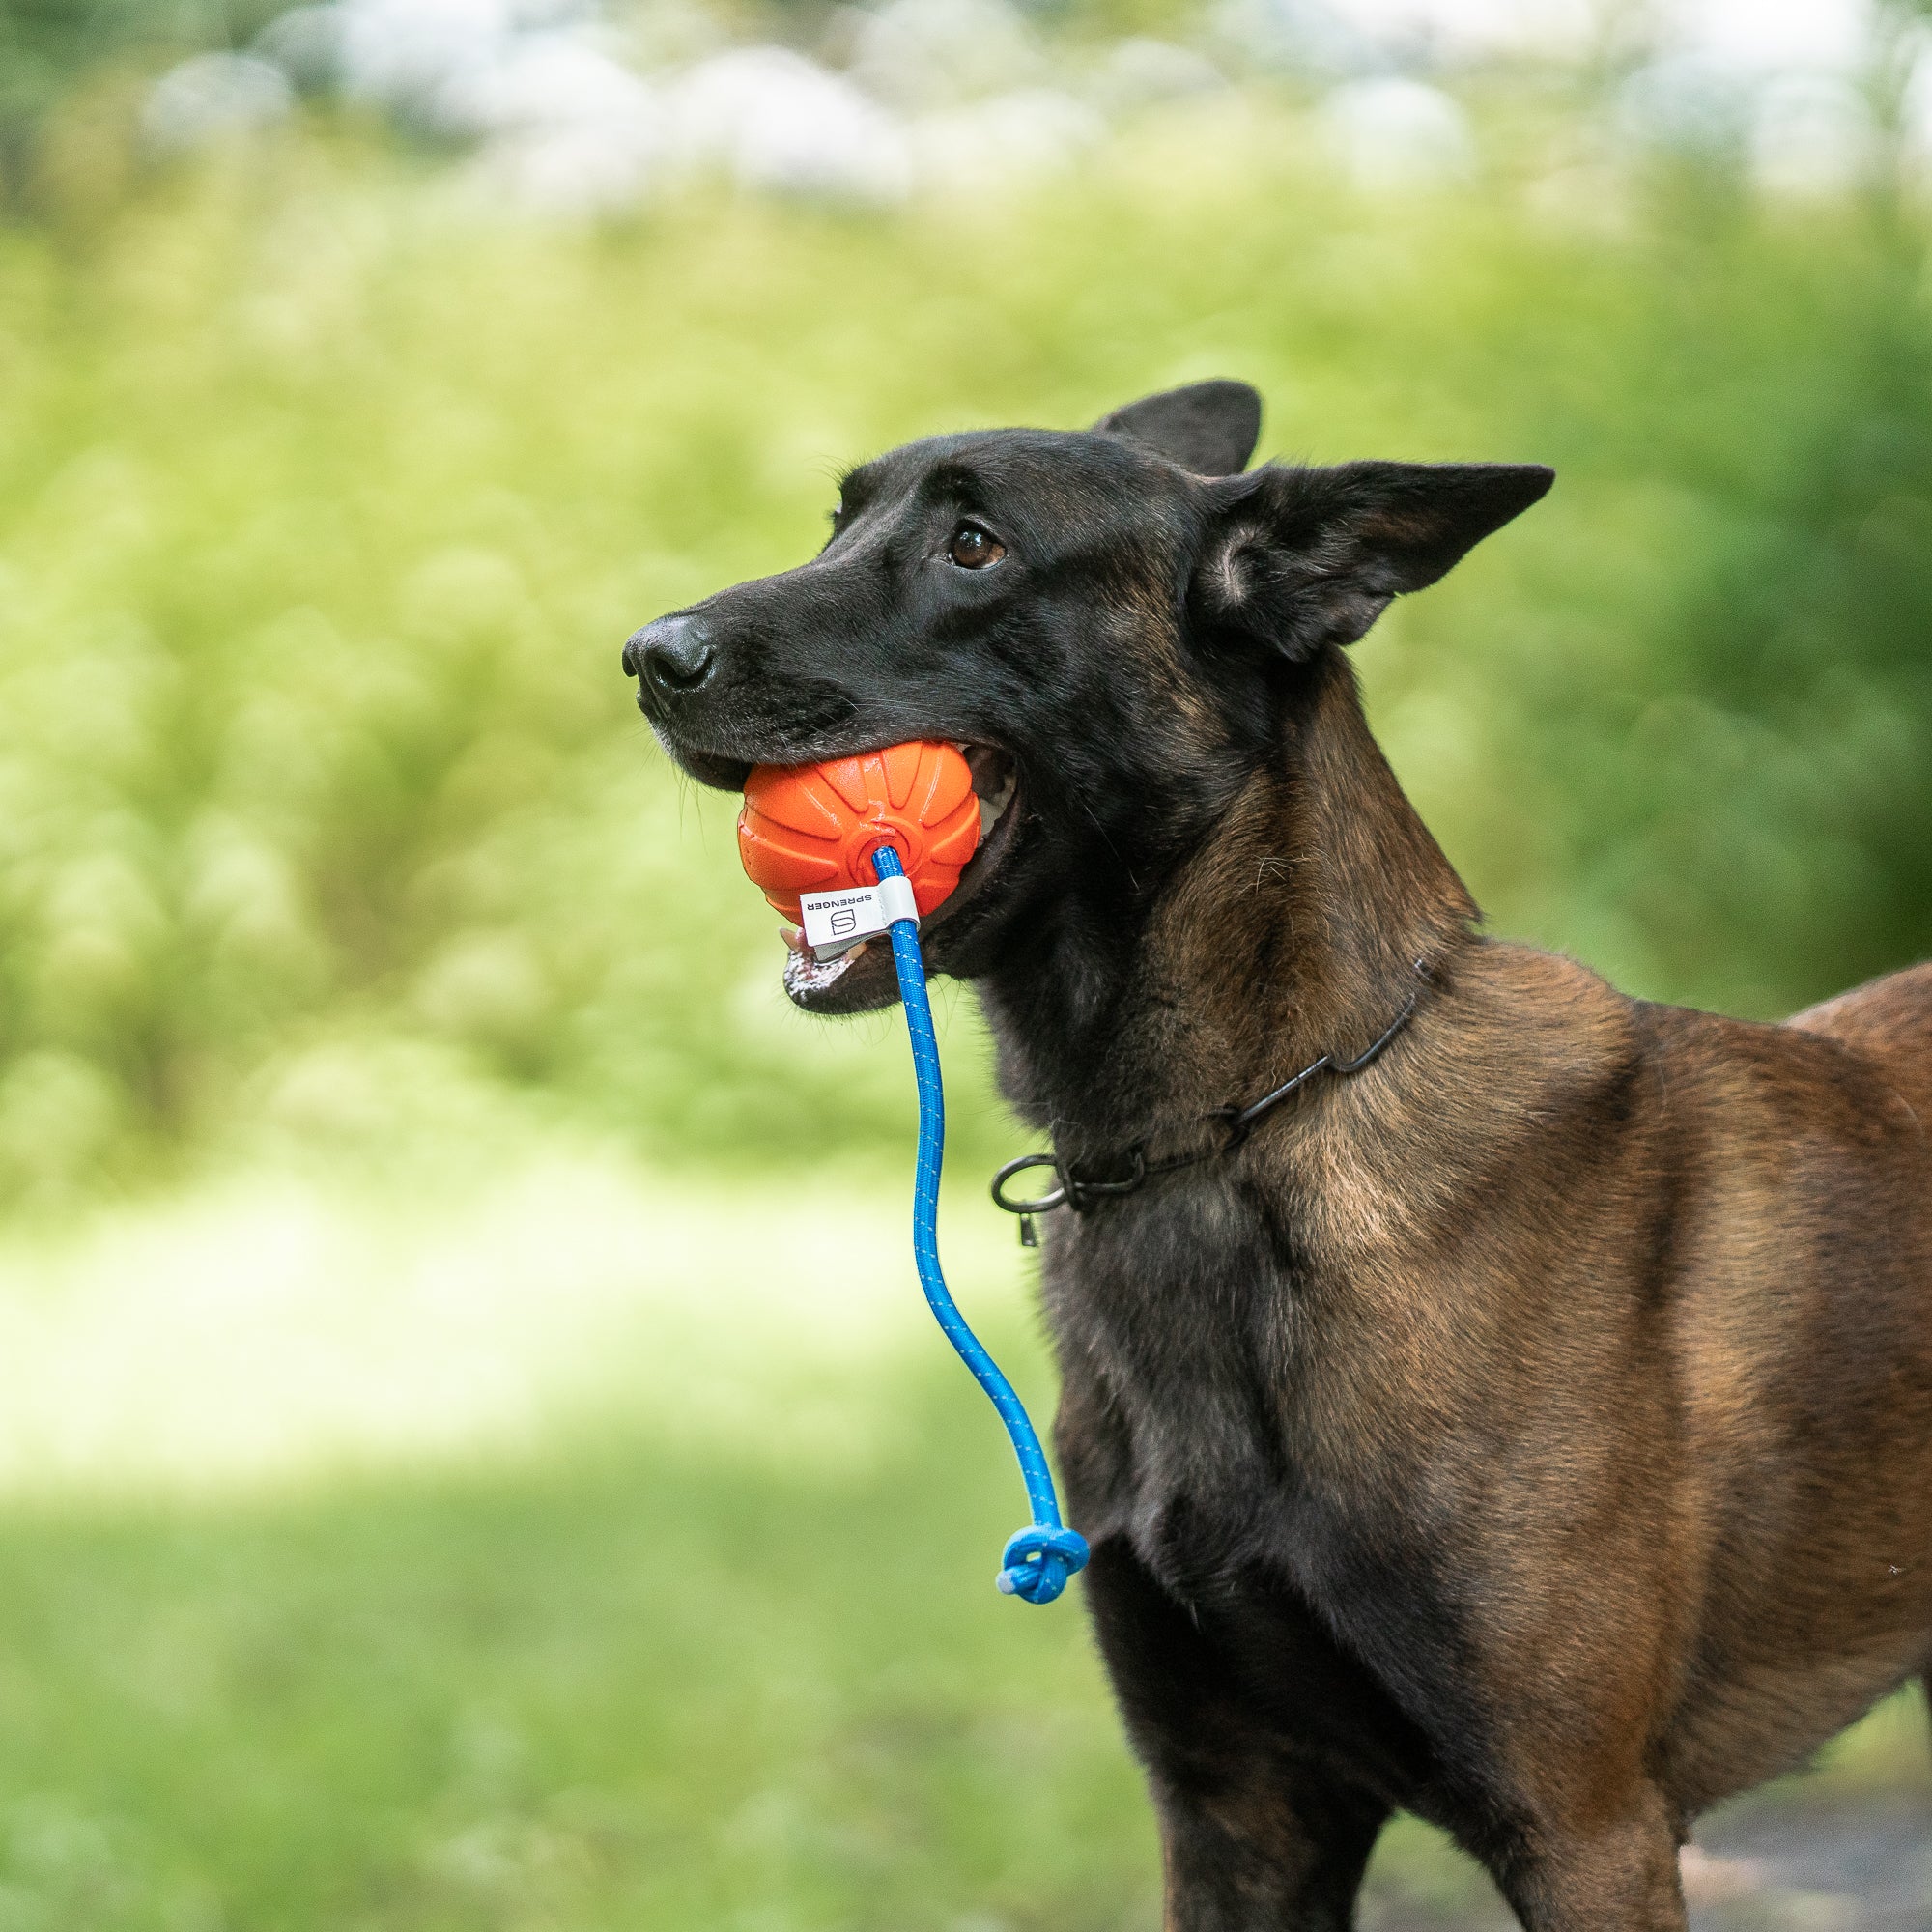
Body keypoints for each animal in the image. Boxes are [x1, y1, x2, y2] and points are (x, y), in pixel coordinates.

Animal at [622, 381, 1932, 1932]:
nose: (649, 658)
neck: (1235, 1135)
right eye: (838, 522)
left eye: (973, 544)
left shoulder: (1586, 1828)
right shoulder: (1237, 1812)